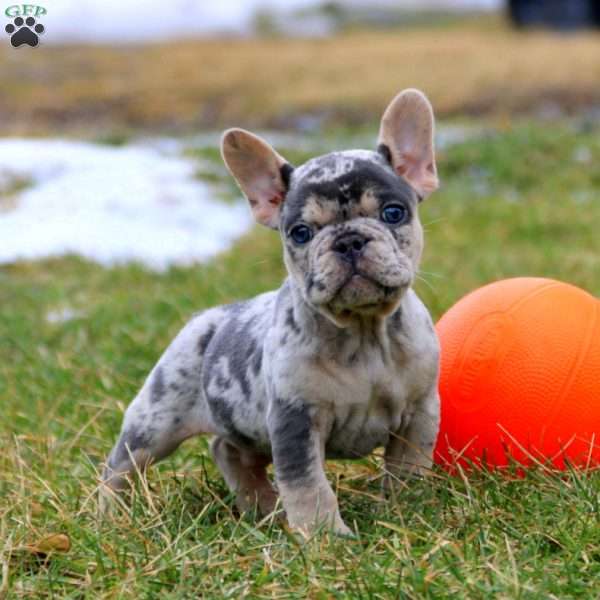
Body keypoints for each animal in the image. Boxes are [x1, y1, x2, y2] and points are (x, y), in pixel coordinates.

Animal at [102, 88, 440, 536]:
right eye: (301, 233)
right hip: (155, 421)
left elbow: (408, 468)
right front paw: (325, 537)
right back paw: (105, 516)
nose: (348, 241)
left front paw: (408, 512)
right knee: (121, 466)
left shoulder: (418, 415)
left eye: (393, 213)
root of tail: (211, 317)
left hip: (247, 431)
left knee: (227, 450)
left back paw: (262, 507)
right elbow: (308, 485)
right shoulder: (294, 424)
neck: (363, 332)